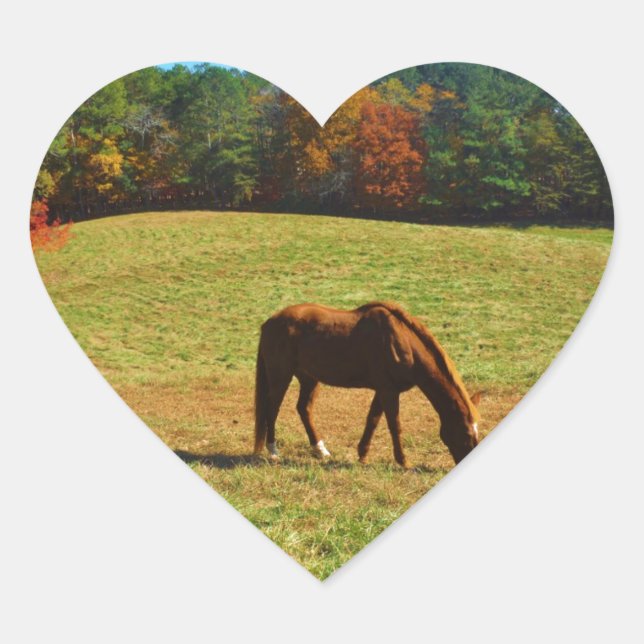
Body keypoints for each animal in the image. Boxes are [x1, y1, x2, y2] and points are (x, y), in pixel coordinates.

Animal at [253, 301, 482, 467]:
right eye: (466, 433)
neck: (401, 342)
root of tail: (269, 322)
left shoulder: (383, 390)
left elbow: (372, 420)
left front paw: (362, 455)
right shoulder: (388, 391)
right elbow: (394, 425)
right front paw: (403, 461)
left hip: (309, 378)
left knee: (303, 409)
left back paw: (320, 450)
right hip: (280, 376)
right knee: (272, 409)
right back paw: (273, 451)